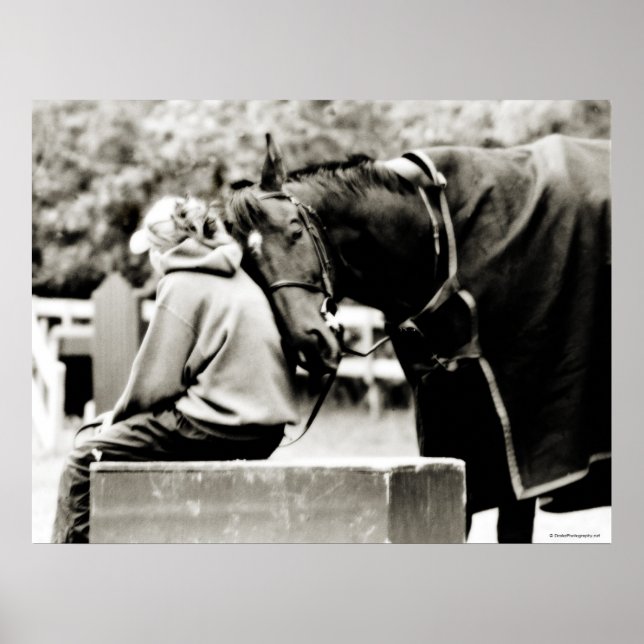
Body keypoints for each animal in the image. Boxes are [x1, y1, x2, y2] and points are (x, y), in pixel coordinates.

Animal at [226, 133, 611, 542]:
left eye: (295, 232)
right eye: (247, 263)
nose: (308, 341)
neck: (438, 244)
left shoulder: (523, 443)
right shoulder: (452, 433)